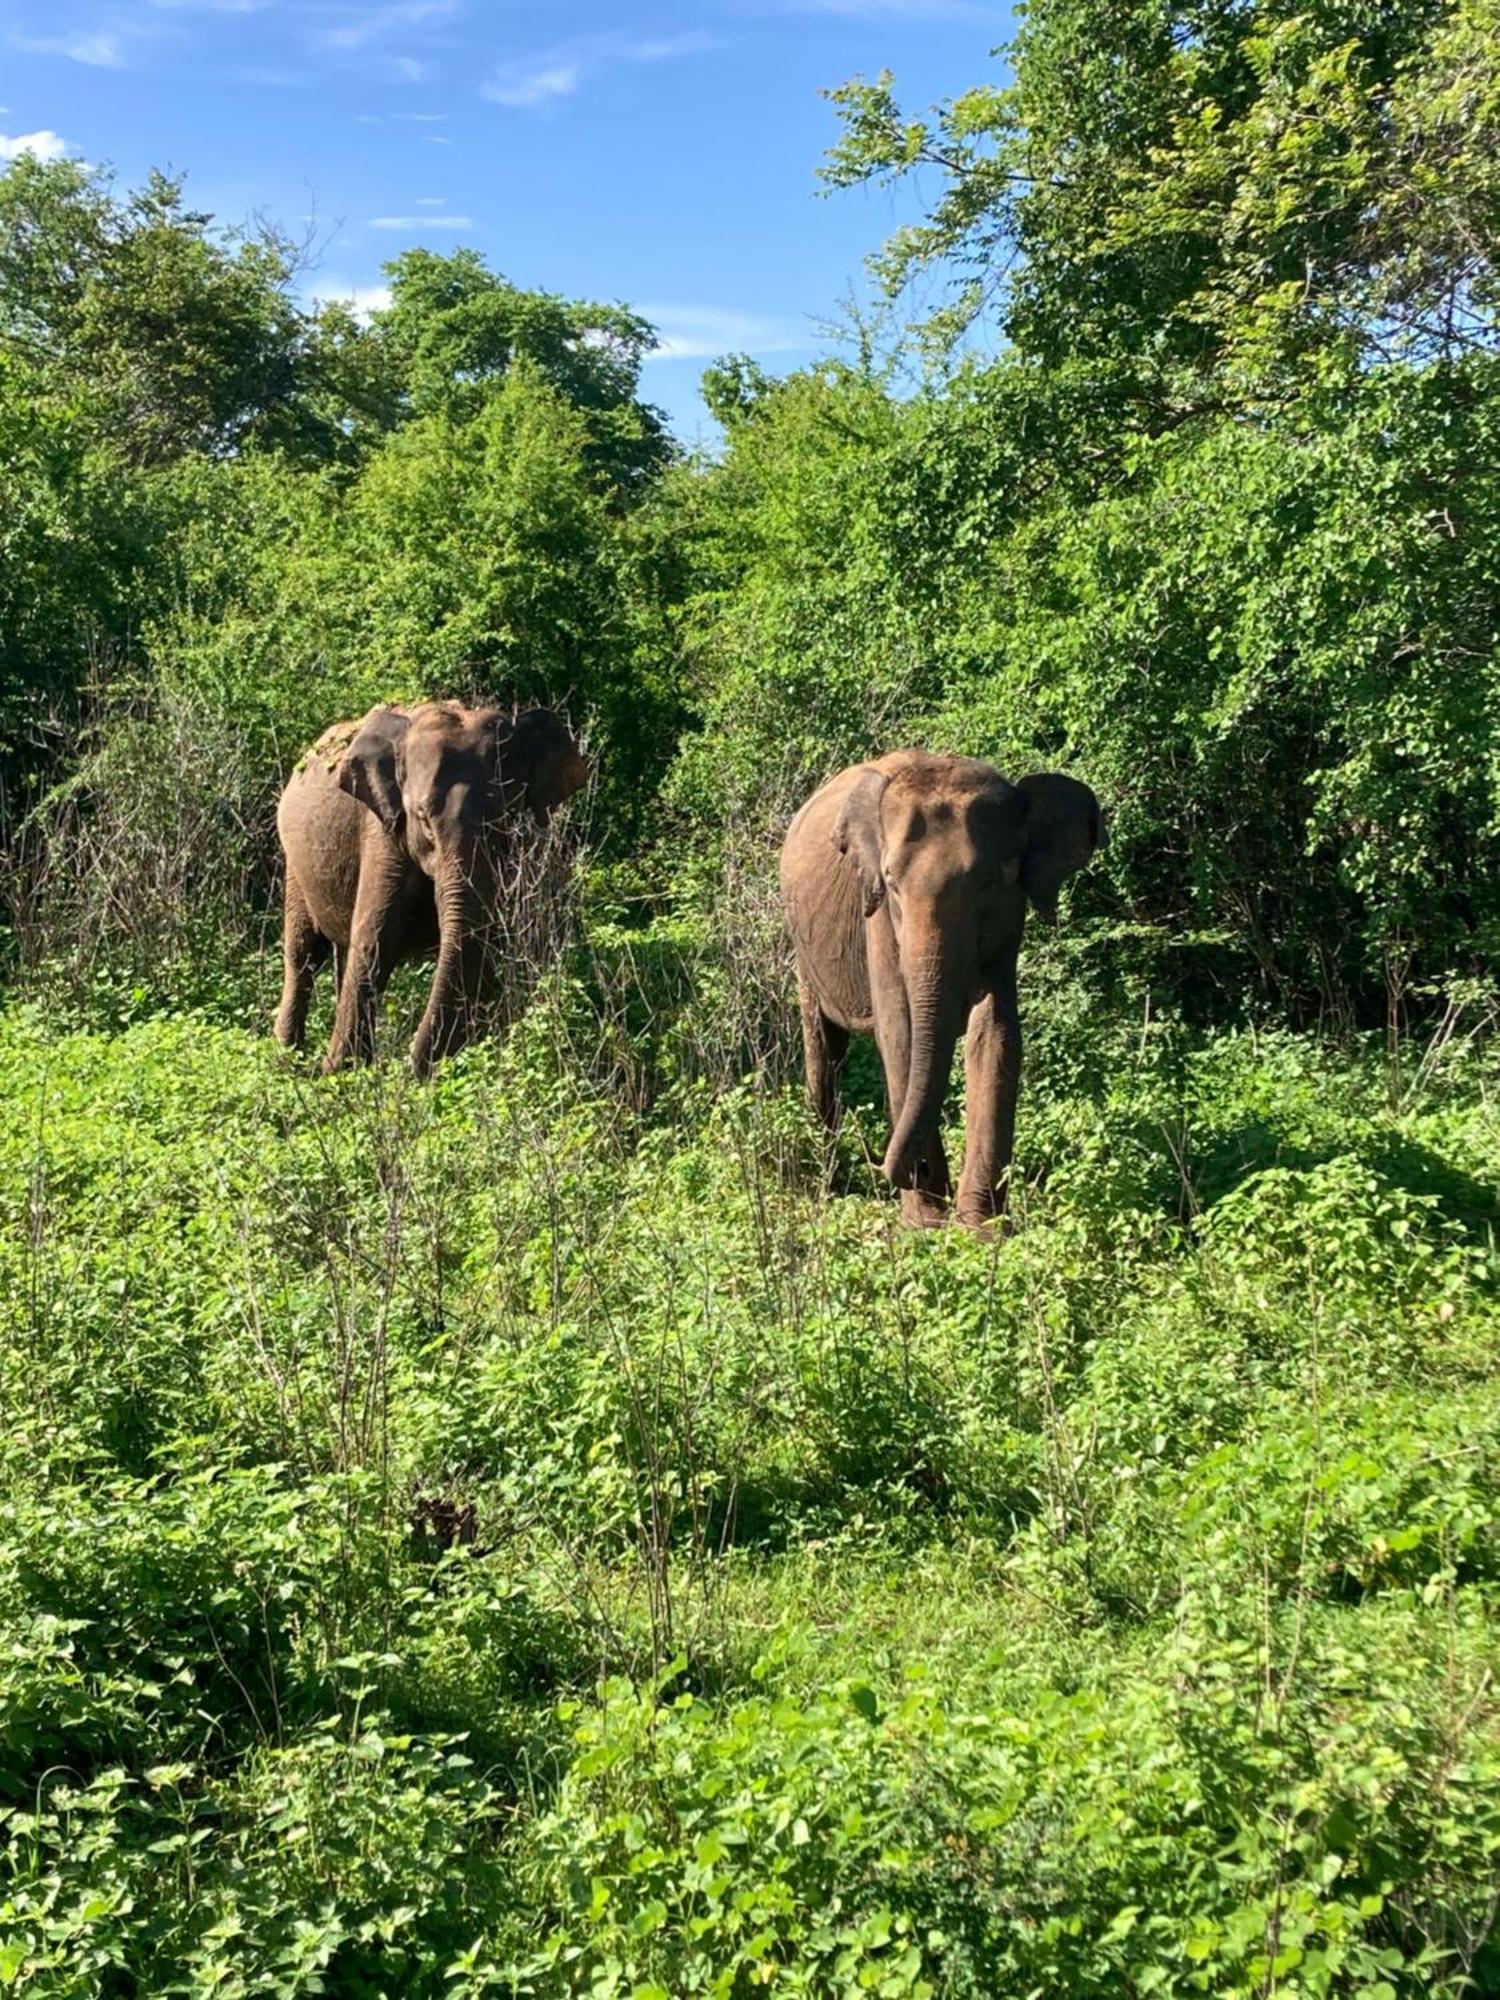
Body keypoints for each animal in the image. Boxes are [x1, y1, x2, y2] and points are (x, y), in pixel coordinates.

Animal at [274, 704, 588, 1080]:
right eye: (422, 817)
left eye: (506, 818)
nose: (414, 1068)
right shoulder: (383, 832)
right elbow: (374, 940)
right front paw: (339, 1074)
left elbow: (487, 945)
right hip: (295, 865)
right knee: (304, 954)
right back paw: (285, 1059)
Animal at [788, 748, 1104, 1224]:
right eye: (892, 883)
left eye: (992, 882)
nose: (896, 1169)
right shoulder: (878, 920)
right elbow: (899, 1033)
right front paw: (926, 1223)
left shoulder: (1007, 926)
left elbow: (994, 1034)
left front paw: (982, 1227)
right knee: (825, 1047)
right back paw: (832, 1189)